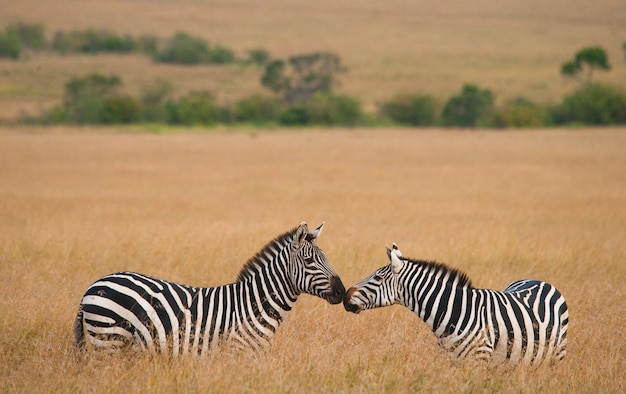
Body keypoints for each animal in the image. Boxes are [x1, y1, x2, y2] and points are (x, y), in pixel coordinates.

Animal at [74, 223, 346, 356]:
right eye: (309, 261)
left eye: (326, 258)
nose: (342, 292)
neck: (255, 304)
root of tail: (94, 285)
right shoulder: (238, 353)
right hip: (108, 340)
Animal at [344, 243, 568, 366]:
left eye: (378, 277)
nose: (346, 296)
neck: (454, 311)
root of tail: (540, 281)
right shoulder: (451, 360)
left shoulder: (479, 360)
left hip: (557, 355)